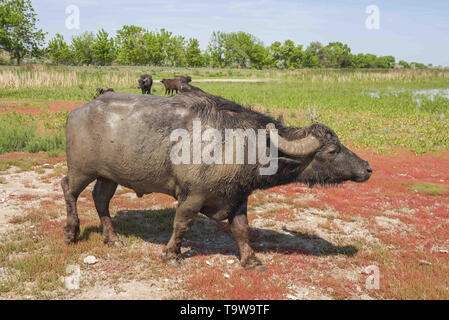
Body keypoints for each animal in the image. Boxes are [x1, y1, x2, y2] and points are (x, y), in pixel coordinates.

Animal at [62, 85, 372, 270]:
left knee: (100, 199)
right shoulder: (192, 196)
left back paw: (112, 238)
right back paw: (71, 232)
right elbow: (182, 224)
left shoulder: (237, 198)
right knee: (69, 190)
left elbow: (241, 229)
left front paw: (251, 260)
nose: (367, 168)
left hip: (108, 176)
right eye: (332, 150)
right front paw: (172, 255)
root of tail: (78, 111)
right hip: (81, 170)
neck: (243, 145)